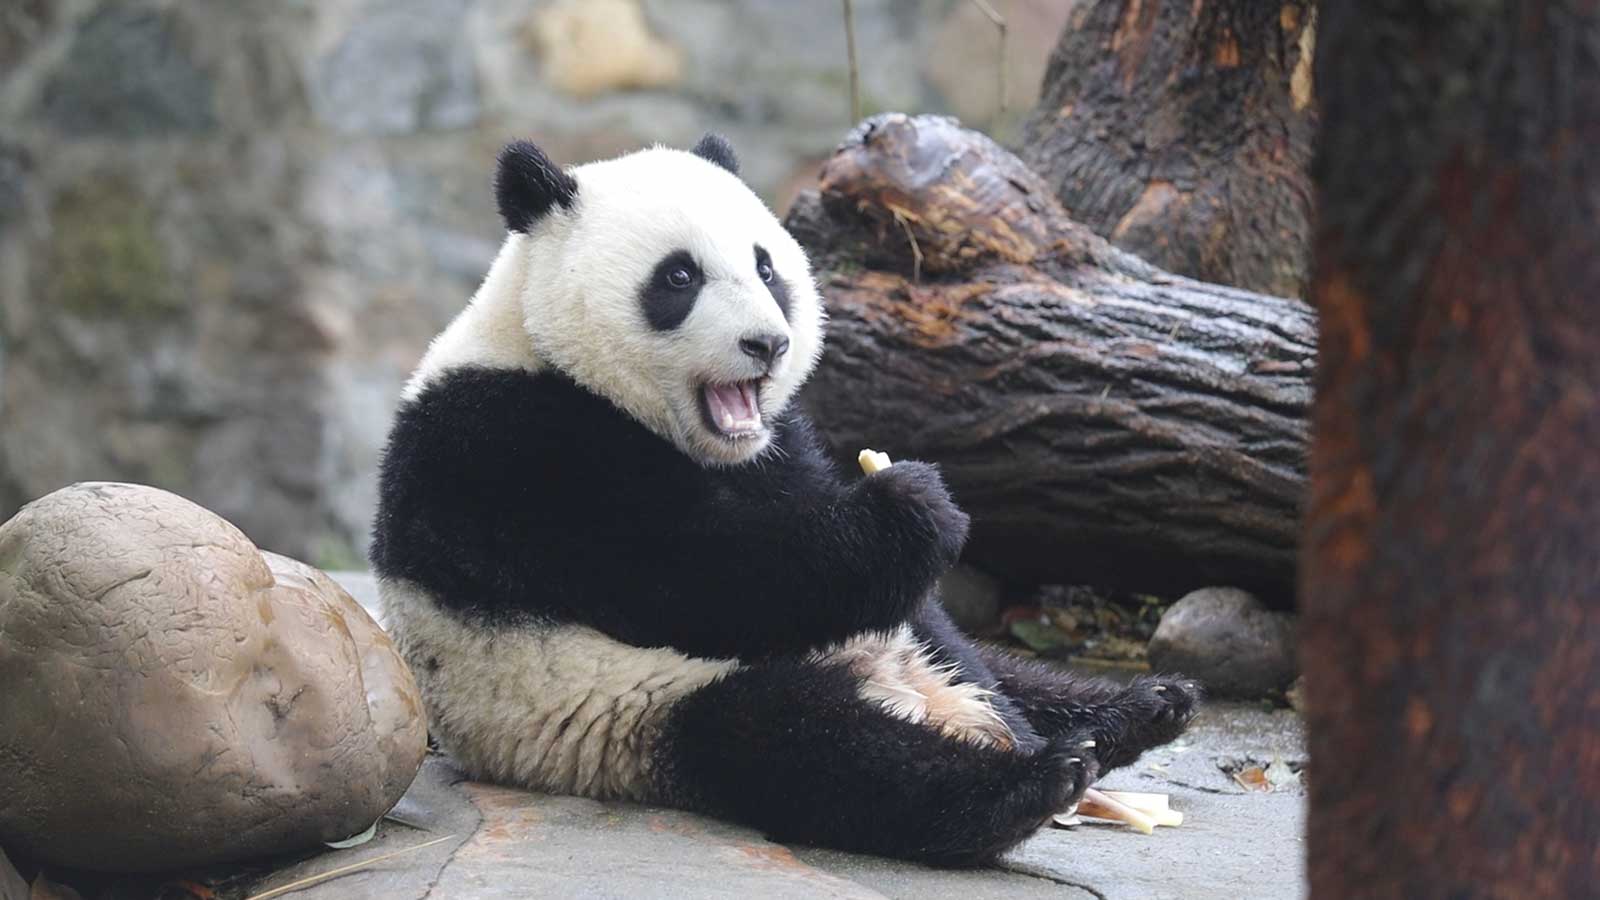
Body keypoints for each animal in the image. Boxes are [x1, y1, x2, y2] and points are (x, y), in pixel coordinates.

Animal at [370, 133, 1201, 866]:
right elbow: (692, 579)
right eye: (679, 278)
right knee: (809, 746)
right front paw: (912, 508)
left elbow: (878, 587)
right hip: (629, 712)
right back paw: (1032, 781)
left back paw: (1135, 710)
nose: (766, 344)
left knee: (982, 662)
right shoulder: (508, 449)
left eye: (766, 268)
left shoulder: (780, 449)